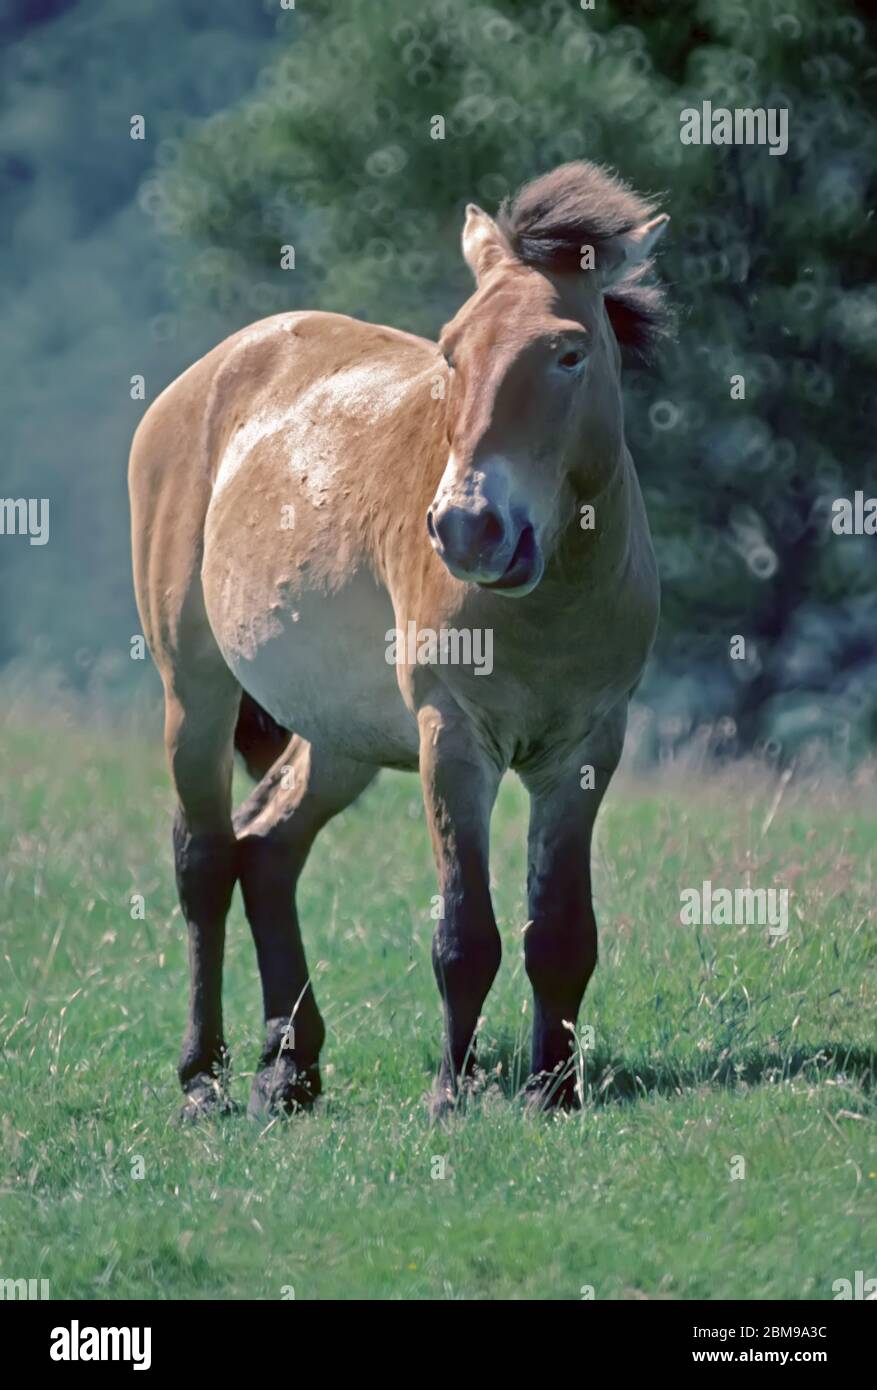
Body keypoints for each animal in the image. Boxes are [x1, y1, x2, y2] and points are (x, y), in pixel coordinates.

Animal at [128, 162, 664, 1117]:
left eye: (569, 352)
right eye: (451, 351)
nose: (468, 529)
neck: (550, 603)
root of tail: (207, 376)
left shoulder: (585, 748)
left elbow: (561, 930)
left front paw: (553, 1091)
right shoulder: (451, 739)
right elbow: (465, 933)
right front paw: (452, 1094)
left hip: (339, 737)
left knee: (267, 851)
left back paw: (290, 1070)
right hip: (194, 691)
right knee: (205, 863)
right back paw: (202, 1079)